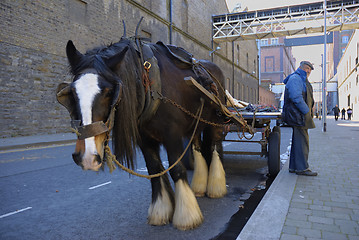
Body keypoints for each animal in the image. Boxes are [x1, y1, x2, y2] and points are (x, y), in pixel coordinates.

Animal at [57, 36, 228, 230]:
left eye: (109, 92)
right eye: (72, 93)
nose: (86, 157)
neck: (151, 88)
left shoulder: (173, 136)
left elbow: (177, 169)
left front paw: (187, 215)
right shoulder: (144, 140)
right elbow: (154, 169)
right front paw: (160, 210)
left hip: (215, 122)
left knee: (215, 147)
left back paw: (216, 186)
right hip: (196, 124)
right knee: (198, 147)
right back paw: (199, 186)